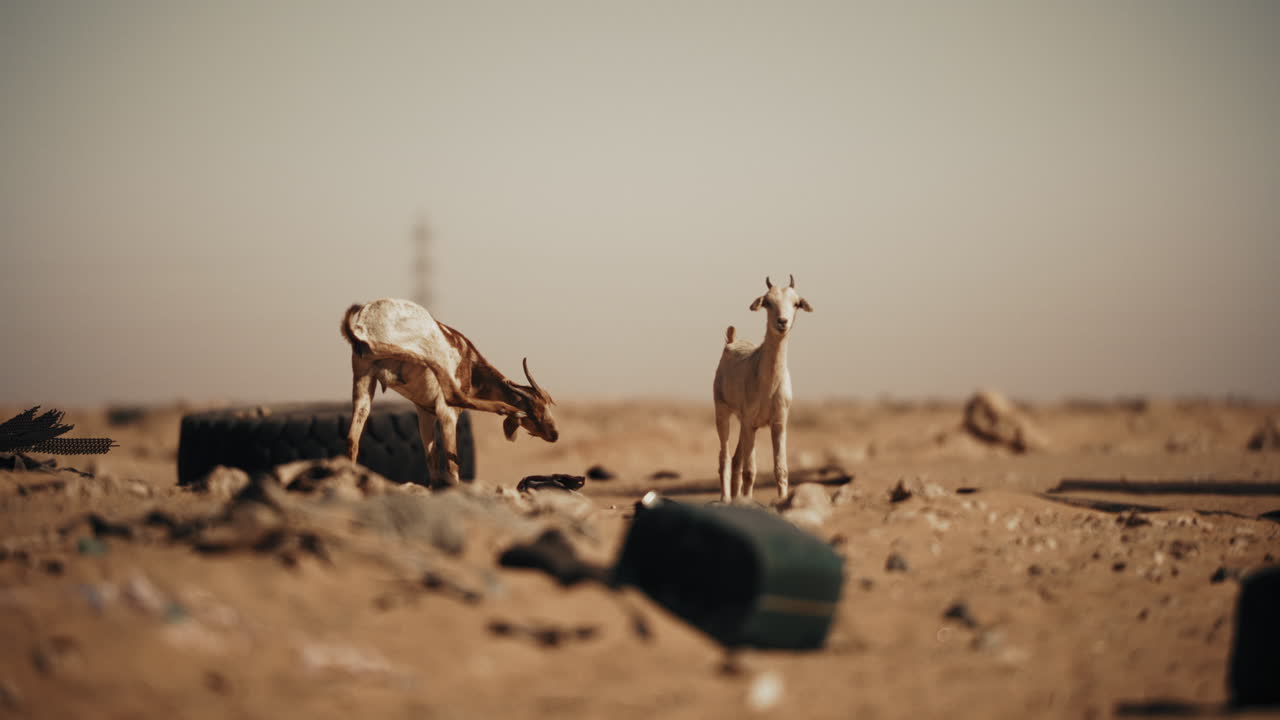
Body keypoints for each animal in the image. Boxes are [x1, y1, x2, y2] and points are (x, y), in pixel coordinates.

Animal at [340, 298, 559, 486]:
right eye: (534, 412)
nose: (554, 434)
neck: (470, 361)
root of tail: (363, 323)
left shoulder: (425, 413)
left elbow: (432, 458)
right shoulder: (447, 413)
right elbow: (452, 462)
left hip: (364, 378)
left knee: (352, 439)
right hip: (423, 355)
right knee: (453, 394)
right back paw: (508, 409)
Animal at [713, 275, 813, 503]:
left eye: (796, 303)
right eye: (767, 302)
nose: (782, 322)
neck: (768, 386)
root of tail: (731, 342)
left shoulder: (778, 423)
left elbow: (781, 469)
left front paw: (783, 501)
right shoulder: (750, 423)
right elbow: (750, 471)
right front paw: (748, 501)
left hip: (744, 423)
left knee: (736, 458)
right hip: (723, 413)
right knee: (725, 457)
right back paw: (725, 498)